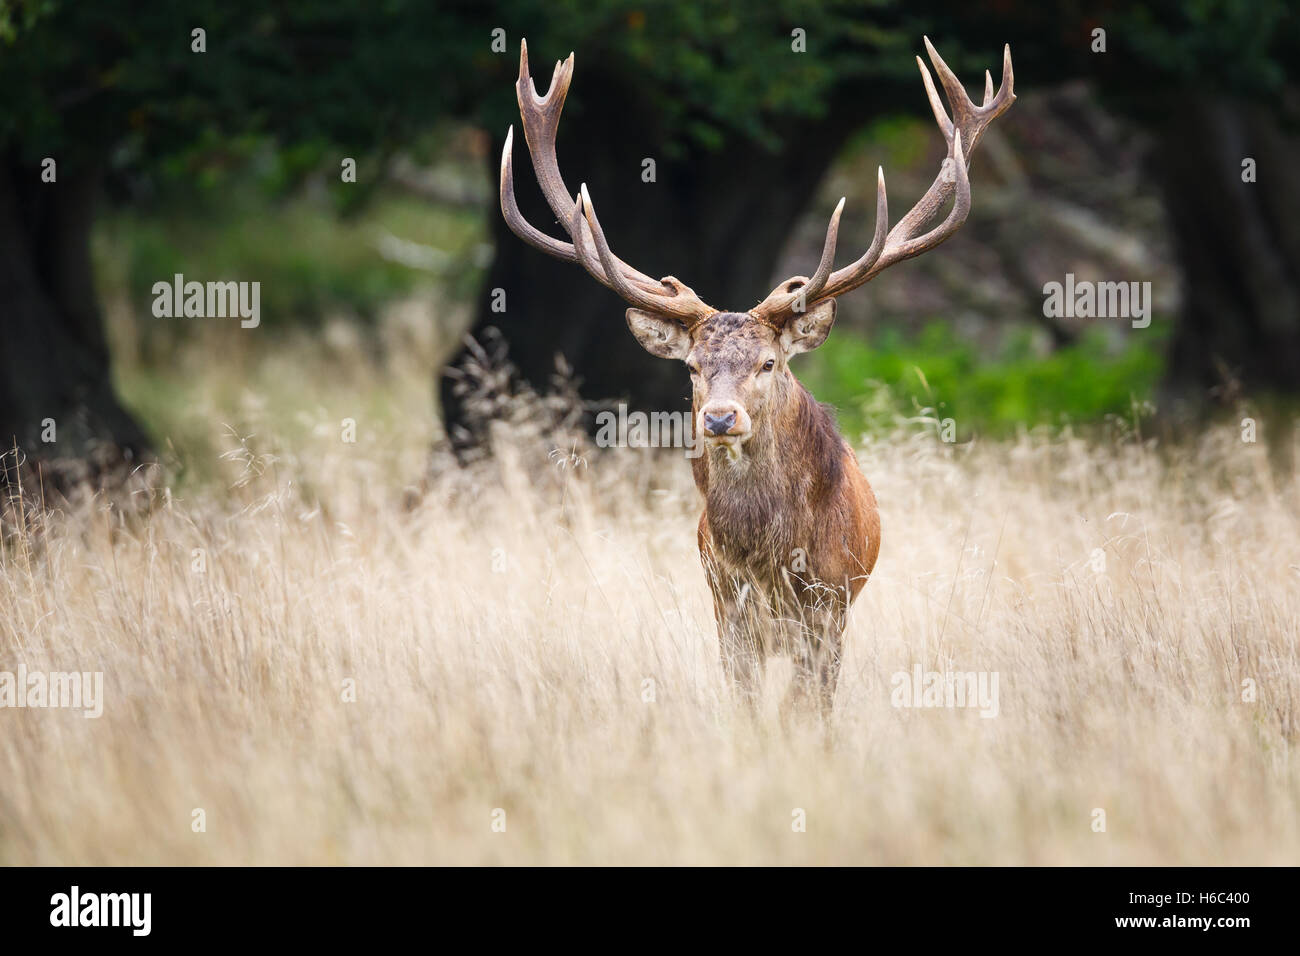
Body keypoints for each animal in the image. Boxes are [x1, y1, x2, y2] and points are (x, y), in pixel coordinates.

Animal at [496, 37, 1013, 712]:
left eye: (769, 362)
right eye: (693, 367)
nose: (721, 417)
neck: (767, 558)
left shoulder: (827, 609)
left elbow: (809, 711)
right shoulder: (726, 606)